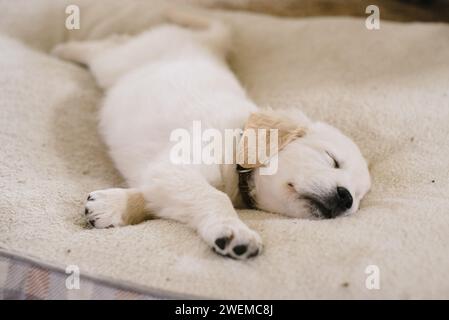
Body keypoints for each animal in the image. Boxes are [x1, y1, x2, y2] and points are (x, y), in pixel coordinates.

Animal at [52, 10, 370, 260]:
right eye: (332, 159)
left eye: (358, 198)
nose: (345, 199)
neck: (238, 148)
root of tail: (207, 44)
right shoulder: (179, 164)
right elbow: (213, 196)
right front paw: (234, 232)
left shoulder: (164, 177)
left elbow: (156, 197)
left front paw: (111, 206)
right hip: (117, 62)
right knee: (108, 46)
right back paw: (63, 49)